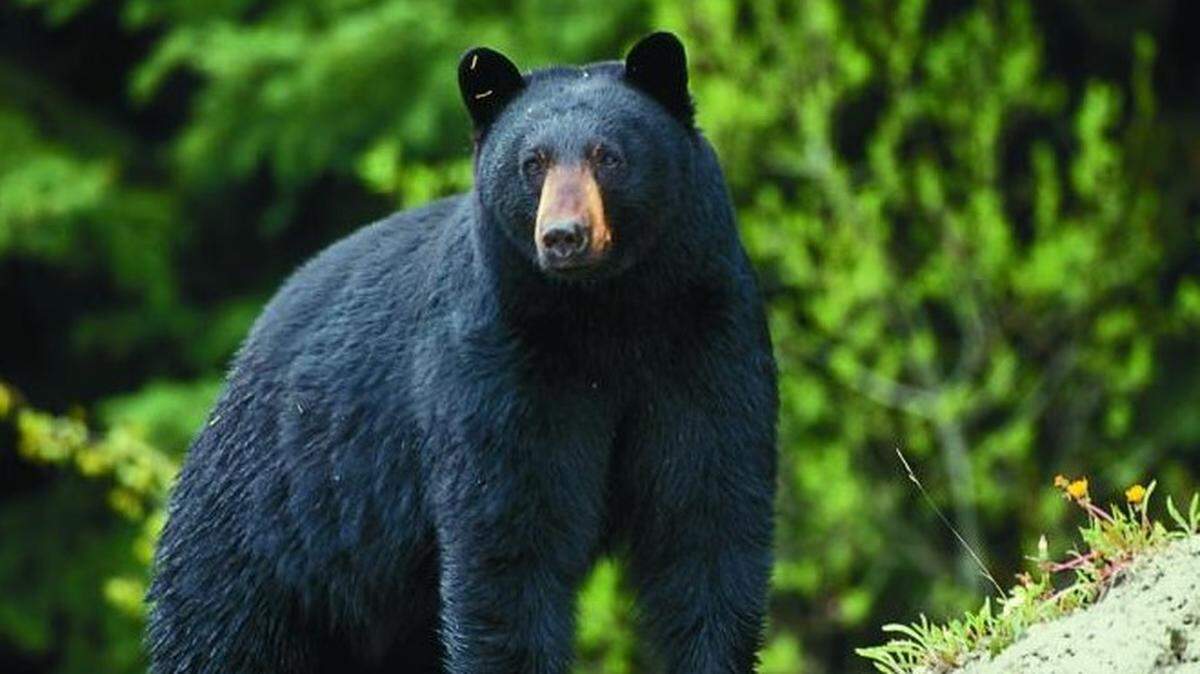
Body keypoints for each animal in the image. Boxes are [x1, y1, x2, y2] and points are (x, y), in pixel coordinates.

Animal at [146, 31, 777, 674]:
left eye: (609, 156)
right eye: (532, 163)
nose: (563, 236)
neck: (606, 314)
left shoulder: (706, 341)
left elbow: (706, 520)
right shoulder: (497, 365)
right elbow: (508, 545)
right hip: (272, 527)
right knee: (223, 634)